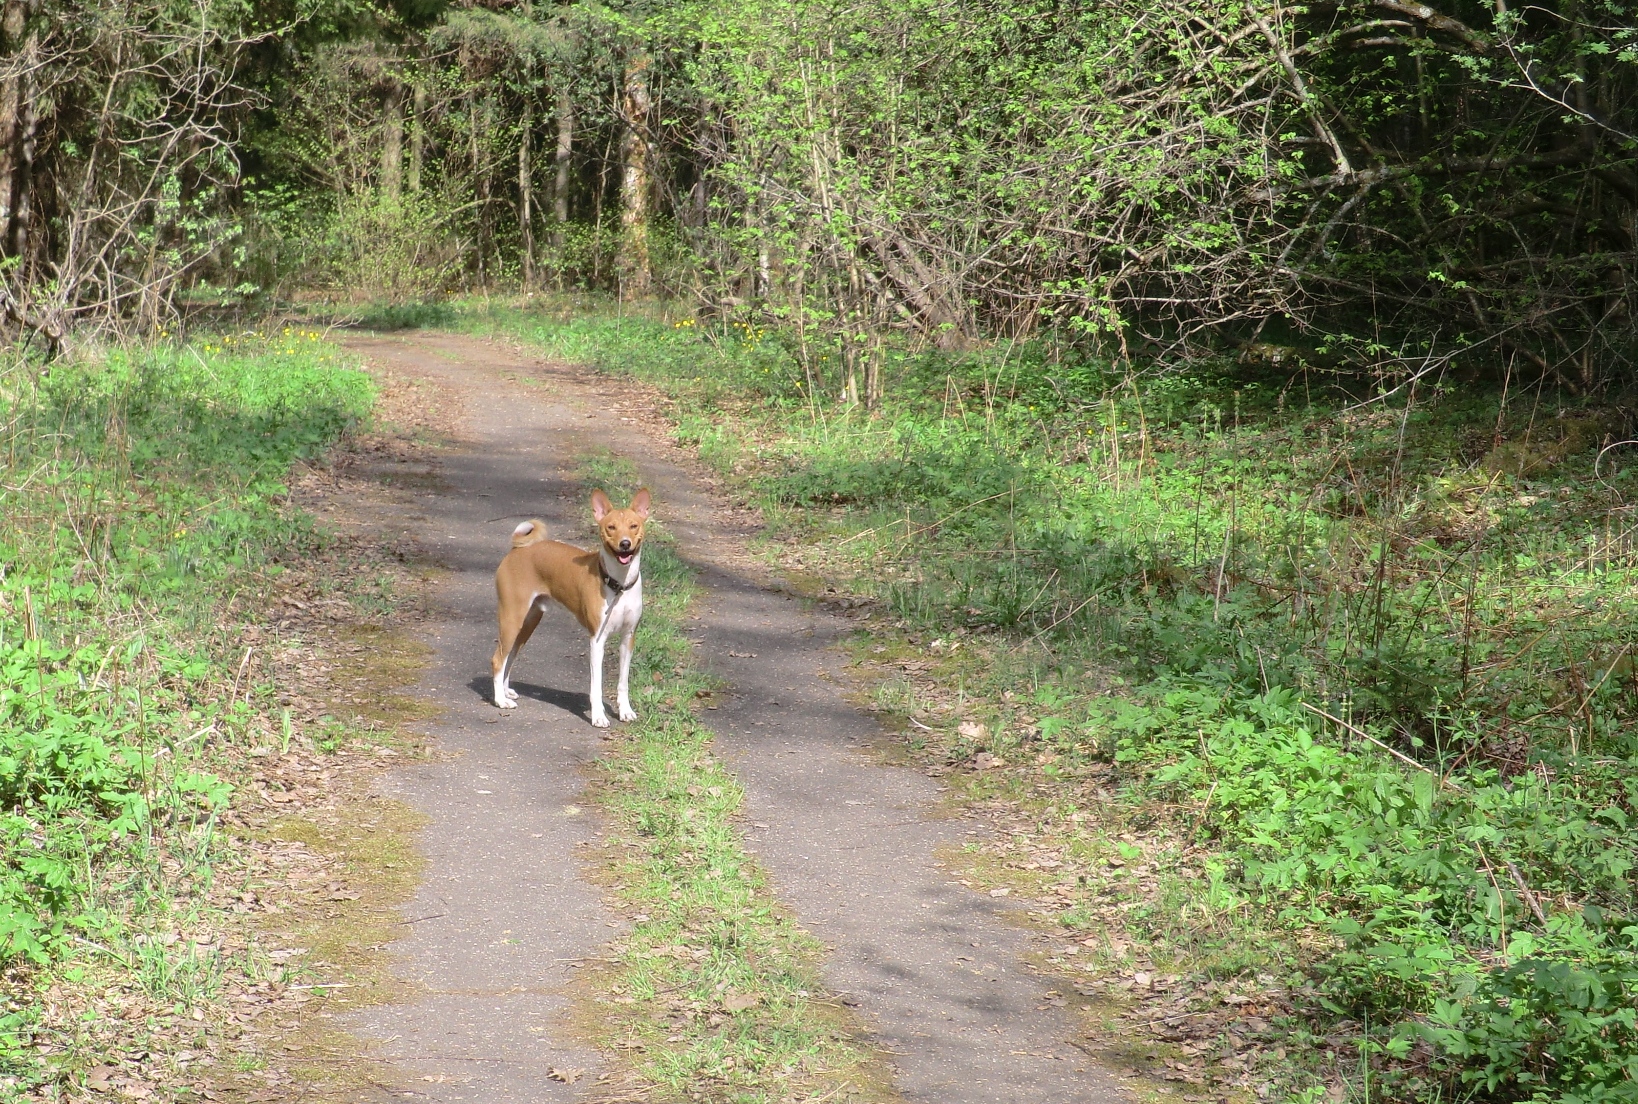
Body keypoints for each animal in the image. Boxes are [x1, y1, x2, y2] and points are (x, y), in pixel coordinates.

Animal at [491, 484, 651, 727]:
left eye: (634, 526)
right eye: (611, 527)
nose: (625, 544)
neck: (619, 585)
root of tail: (517, 550)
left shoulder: (628, 638)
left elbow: (623, 683)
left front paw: (625, 711)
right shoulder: (597, 640)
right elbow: (596, 686)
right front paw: (598, 716)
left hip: (528, 622)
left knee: (510, 655)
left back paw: (506, 690)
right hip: (512, 618)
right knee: (498, 659)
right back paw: (500, 700)